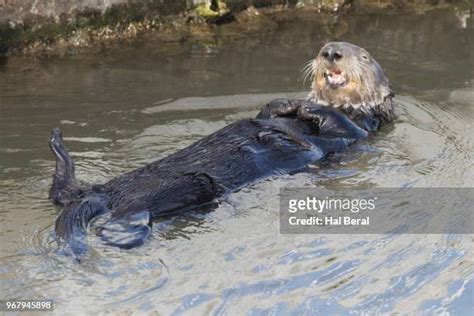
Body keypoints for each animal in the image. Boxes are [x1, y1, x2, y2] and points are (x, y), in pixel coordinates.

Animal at [50, 42, 394, 256]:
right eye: (325, 48)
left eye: (363, 57)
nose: (331, 52)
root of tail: (109, 196)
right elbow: (266, 112)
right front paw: (286, 104)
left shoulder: (362, 129)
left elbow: (342, 127)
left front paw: (309, 109)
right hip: (118, 184)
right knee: (65, 194)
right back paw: (58, 147)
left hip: (194, 185)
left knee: (130, 210)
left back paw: (120, 234)